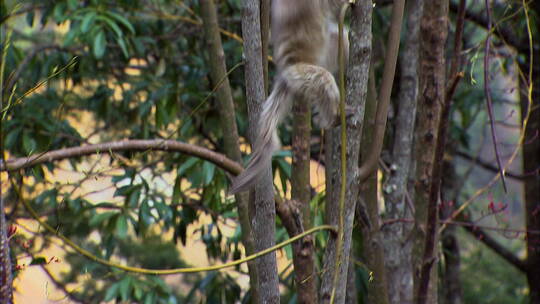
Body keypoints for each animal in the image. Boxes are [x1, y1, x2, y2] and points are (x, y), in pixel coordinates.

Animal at [229, 0, 350, 194]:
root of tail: (285, 74)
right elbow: (333, 4)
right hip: (300, 75)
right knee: (325, 80)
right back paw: (331, 119)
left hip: (321, 59)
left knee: (341, 39)